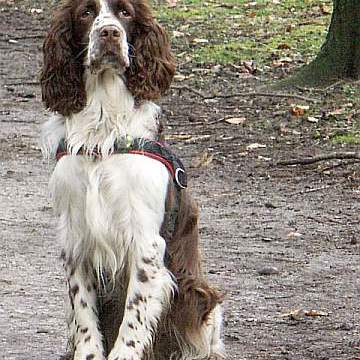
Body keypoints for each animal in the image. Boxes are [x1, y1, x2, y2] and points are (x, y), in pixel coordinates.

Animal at [40, 0, 224, 360]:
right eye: (86, 13)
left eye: (125, 13)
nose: (109, 33)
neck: (103, 128)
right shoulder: (76, 237)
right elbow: (84, 313)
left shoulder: (145, 241)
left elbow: (134, 313)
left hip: (198, 294)